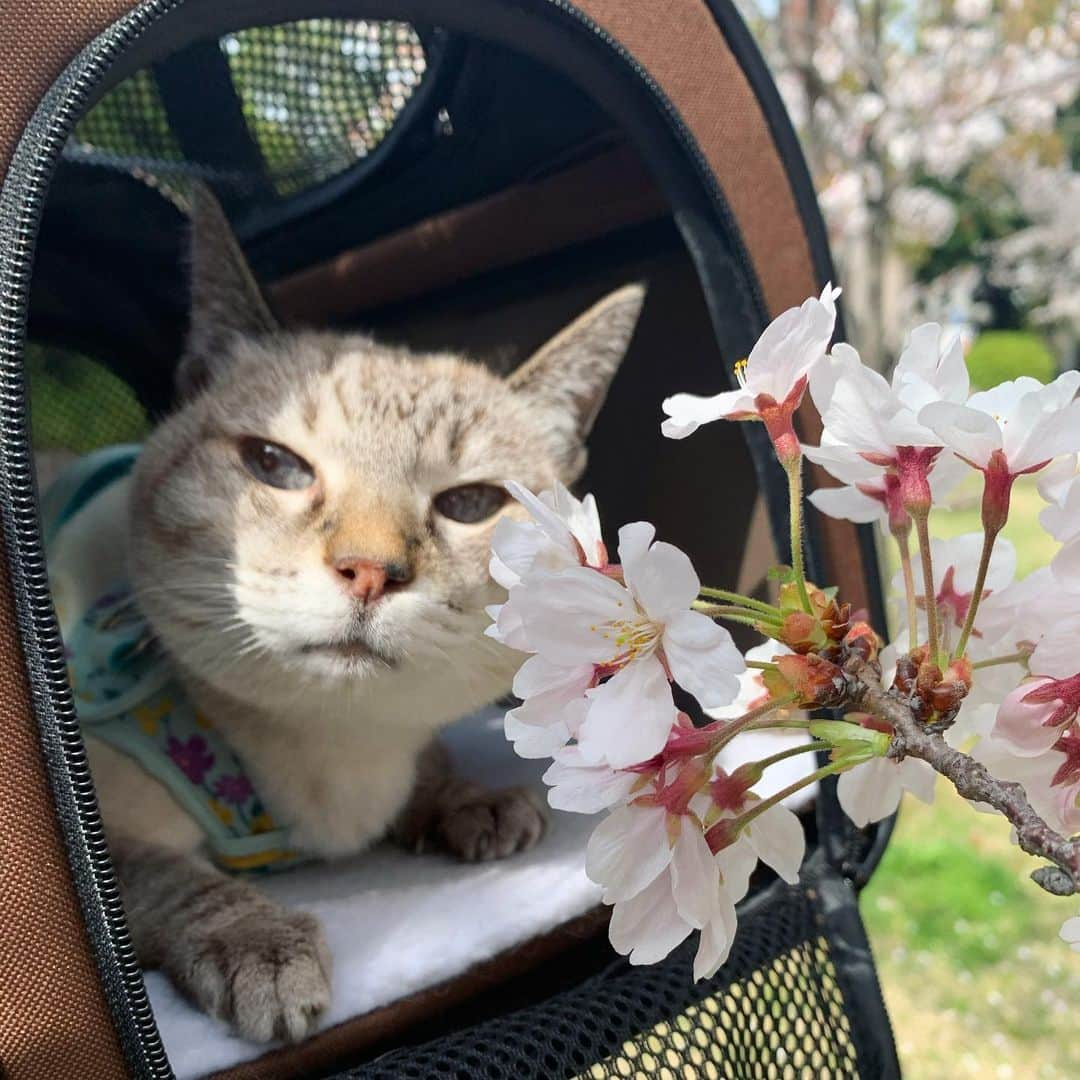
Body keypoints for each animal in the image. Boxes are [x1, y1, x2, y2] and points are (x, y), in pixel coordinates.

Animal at [59, 192, 639, 1045]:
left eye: (471, 504)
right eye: (275, 465)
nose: (369, 570)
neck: (337, 763)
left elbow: (430, 767)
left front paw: (469, 801)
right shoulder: (98, 820)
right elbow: (156, 877)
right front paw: (261, 945)